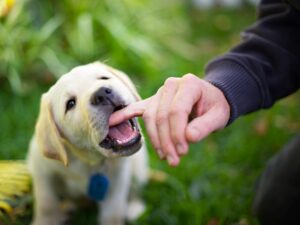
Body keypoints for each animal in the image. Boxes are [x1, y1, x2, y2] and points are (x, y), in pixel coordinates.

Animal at [27, 62, 149, 225]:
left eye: (104, 78)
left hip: (139, 166)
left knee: (136, 189)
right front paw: (45, 221)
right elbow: (46, 204)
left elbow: (112, 213)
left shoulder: (118, 178)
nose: (102, 93)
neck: (88, 160)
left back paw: (135, 209)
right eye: (70, 103)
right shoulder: (41, 172)